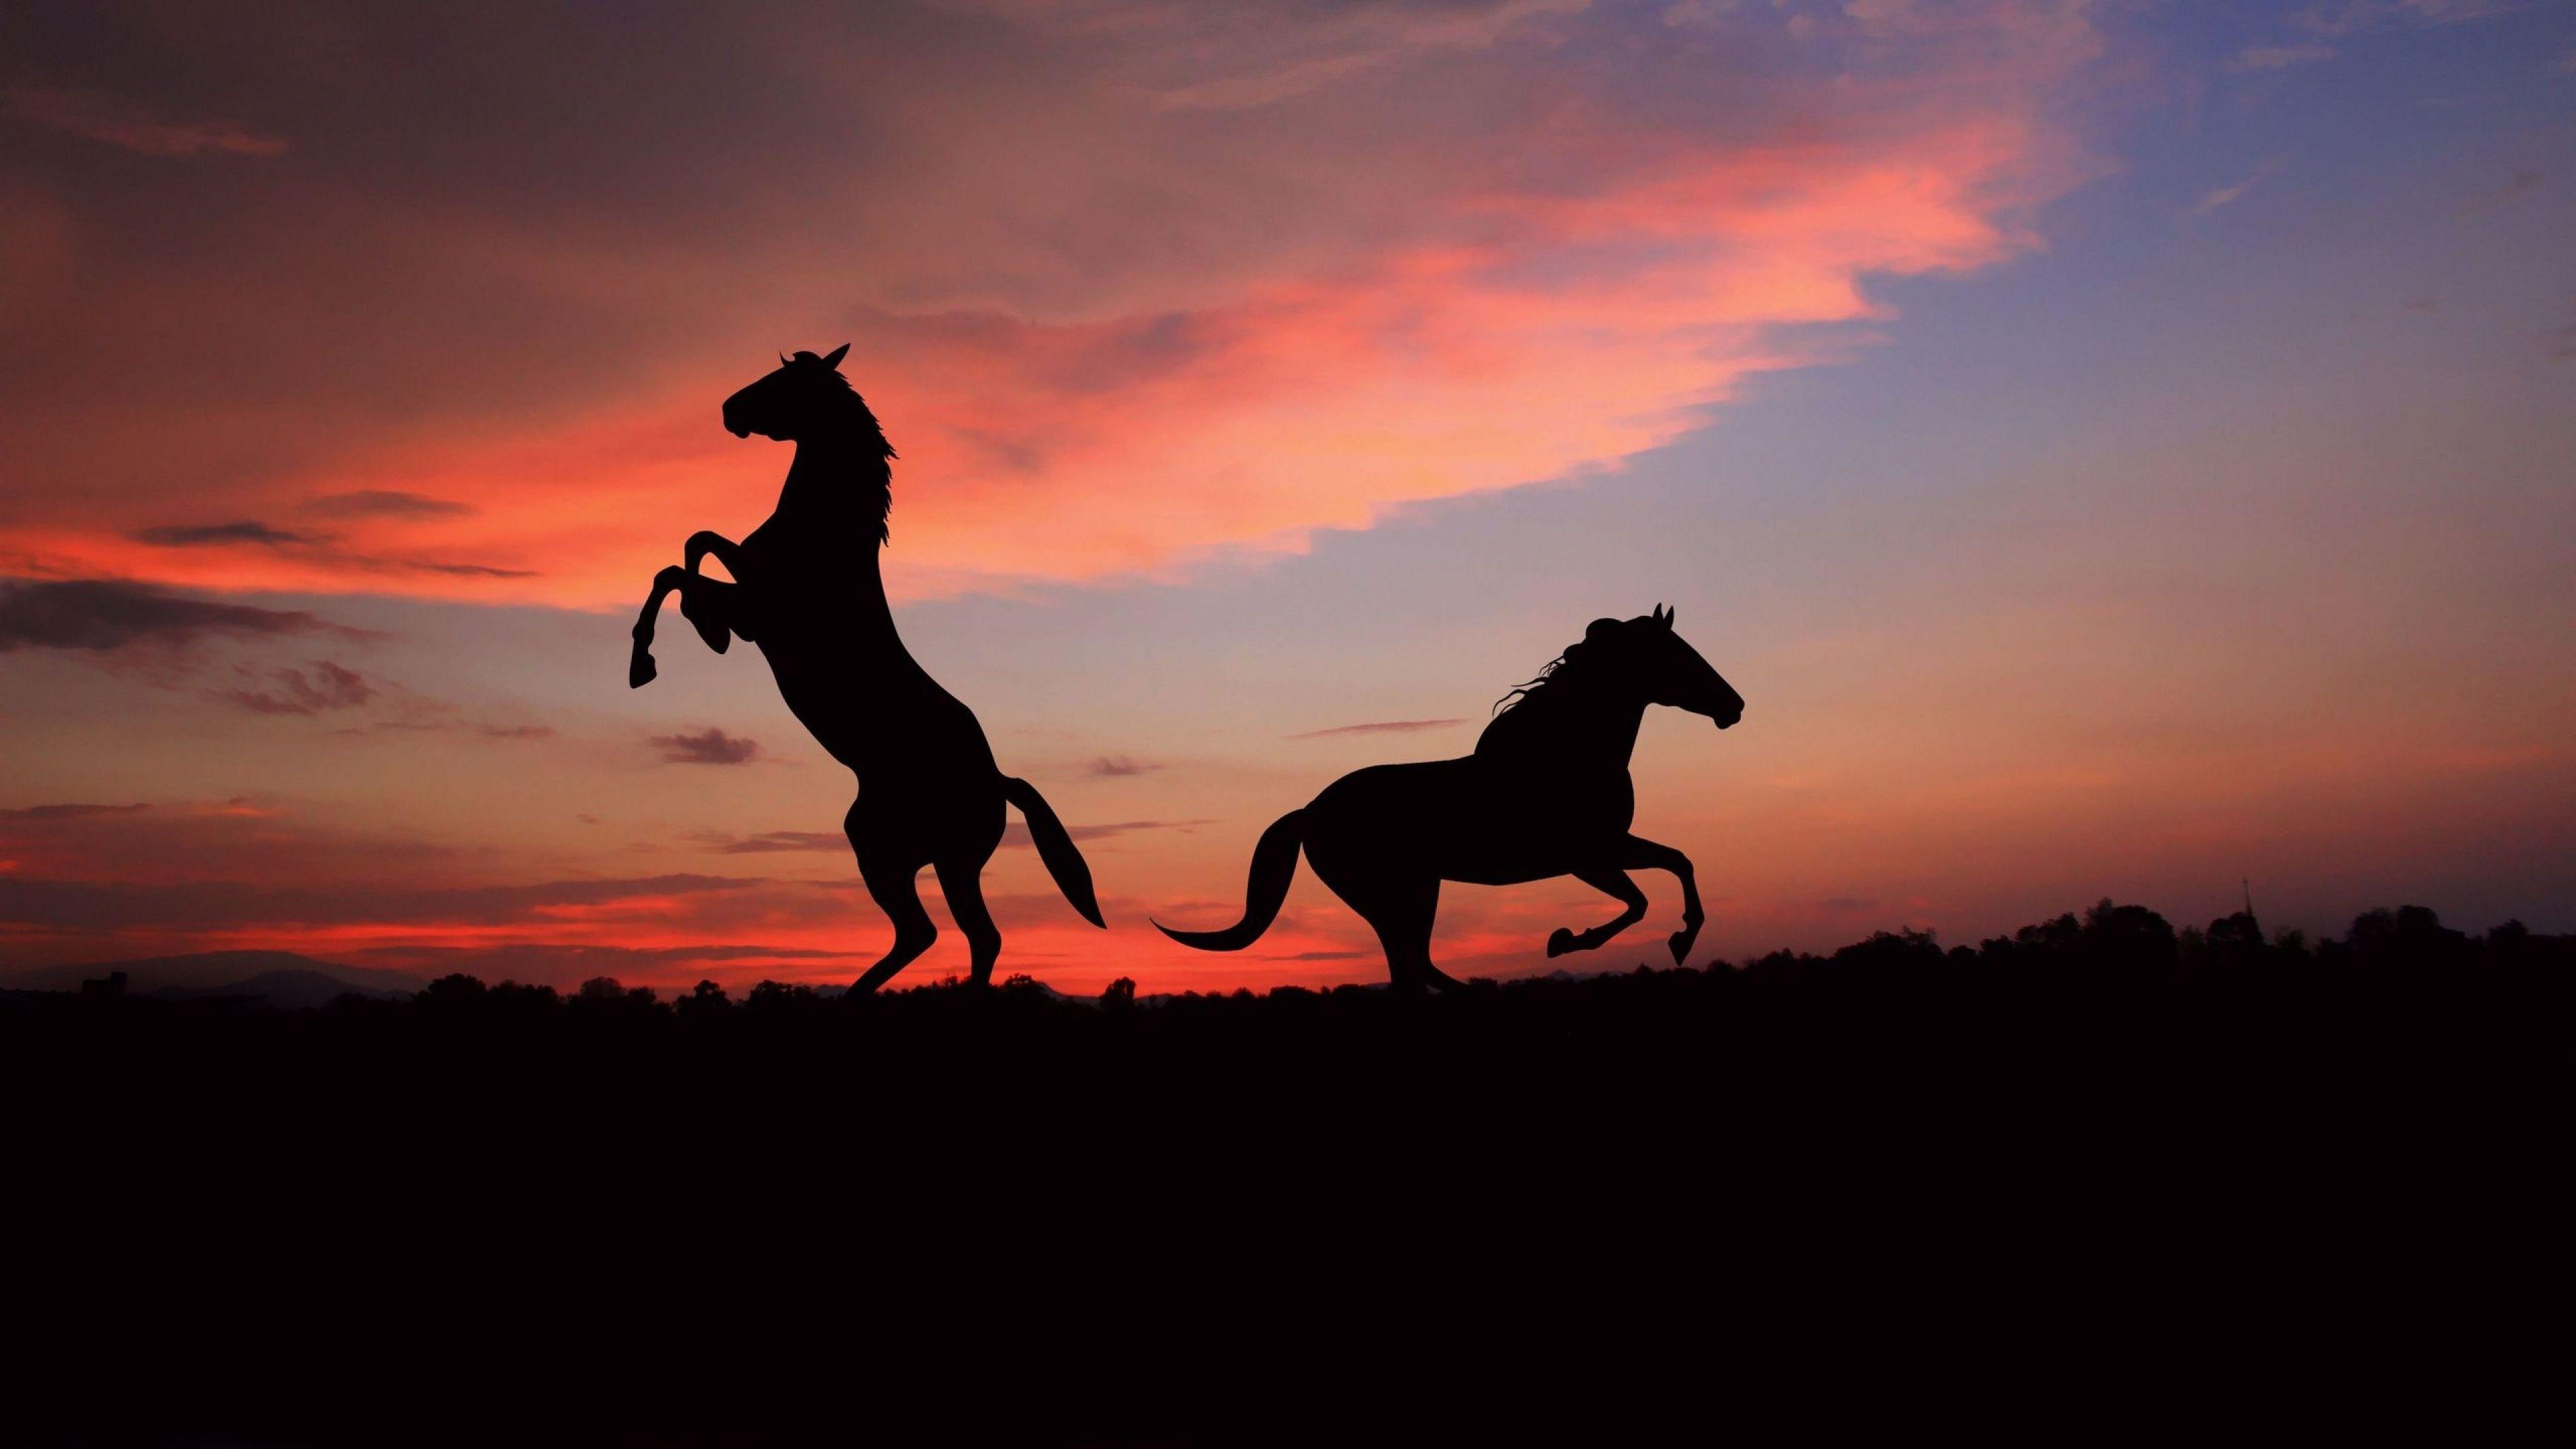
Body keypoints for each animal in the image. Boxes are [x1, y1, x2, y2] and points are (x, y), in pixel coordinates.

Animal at [629, 345, 1105, 992]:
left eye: (786, 381)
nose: (729, 411)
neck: (824, 534)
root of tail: (997, 780)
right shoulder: (751, 588)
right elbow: (691, 551)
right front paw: (691, 637)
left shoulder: (760, 608)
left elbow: (683, 566)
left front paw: (661, 654)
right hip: (914, 853)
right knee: (952, 935)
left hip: (912, 854)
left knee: (947, 933)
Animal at [1156, 607, 1743, 990]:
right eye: (1679, 655)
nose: (1733, 706)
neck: (1565, 752)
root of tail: (1310, 813)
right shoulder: (1587, 855)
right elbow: (1642, 899)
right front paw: (1565, 940)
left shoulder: (1606, 848)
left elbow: (1678, 863)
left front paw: (1679, 939)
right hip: (1394, 893)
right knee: (1412, 967)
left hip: (1415, 890)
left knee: (1412, 969)